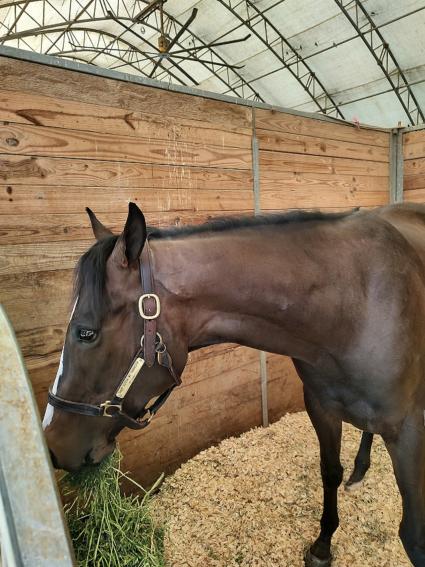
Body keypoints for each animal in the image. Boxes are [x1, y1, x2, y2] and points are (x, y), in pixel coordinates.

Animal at [44, 202, 424, 564]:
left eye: (86, 332)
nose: (52, 446)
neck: (352, 305)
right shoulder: (321, 407)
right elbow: (330, 472)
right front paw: (322, 546)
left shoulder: (408, 431)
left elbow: (412, 535)